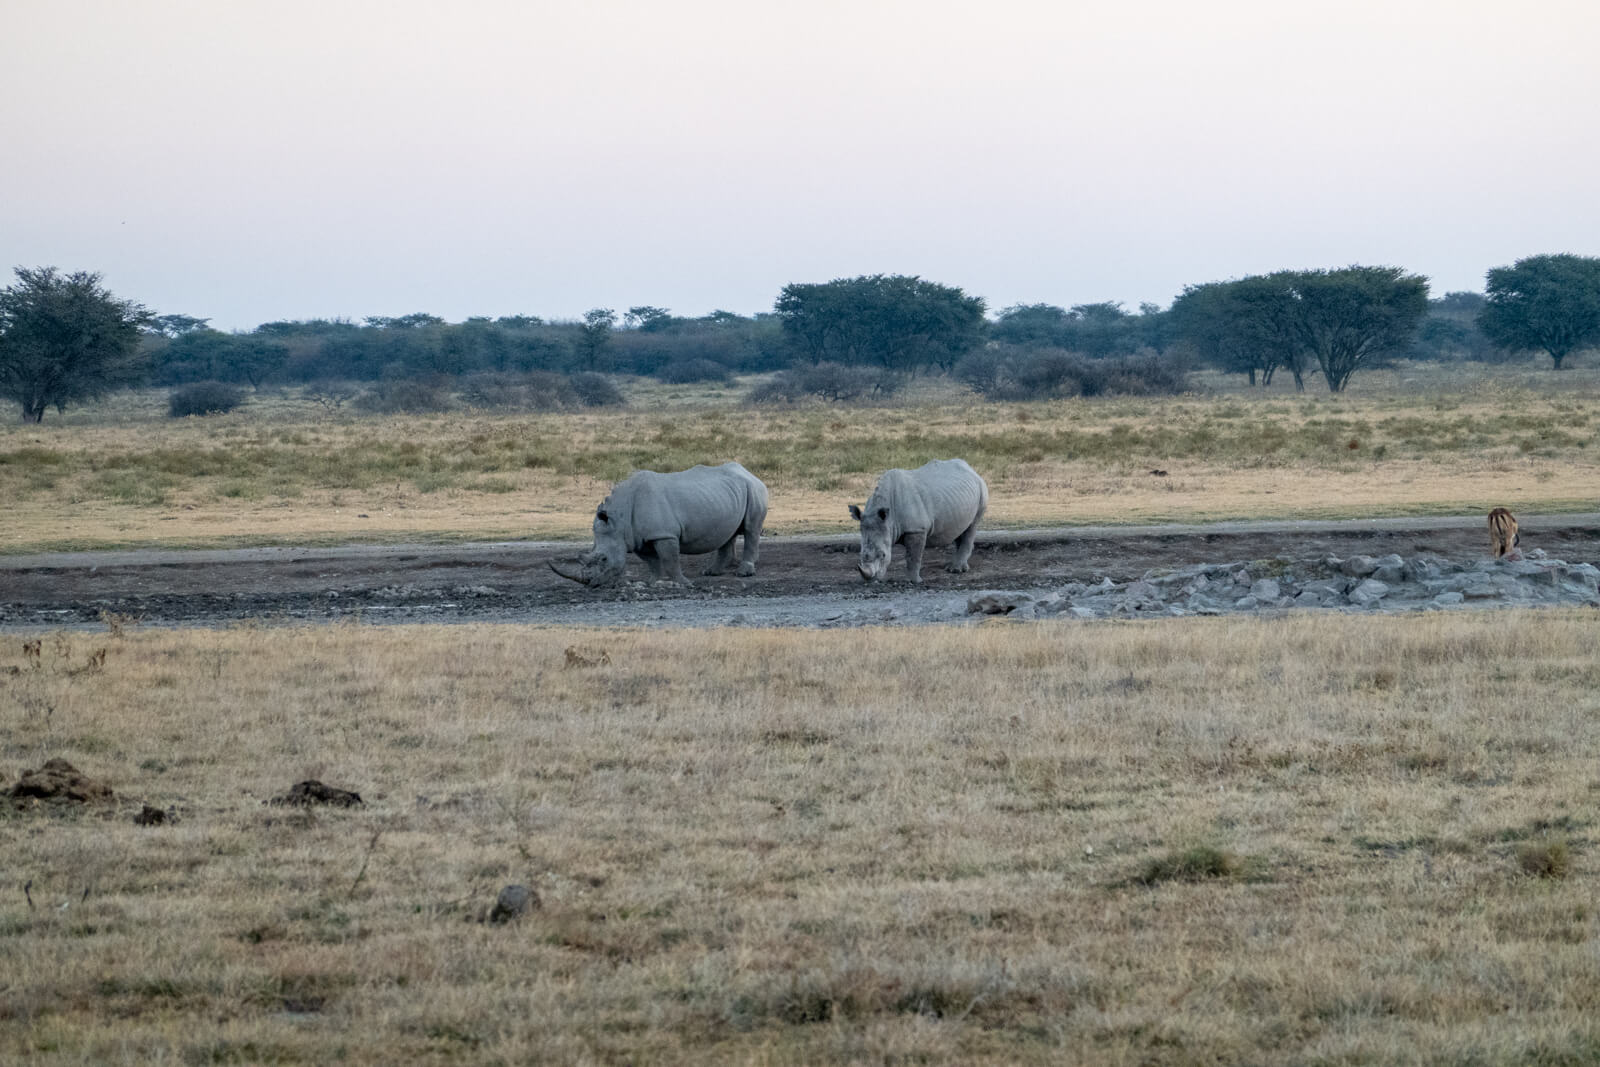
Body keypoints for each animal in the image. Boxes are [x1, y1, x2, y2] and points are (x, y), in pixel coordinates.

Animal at [550, 462, 768, 586]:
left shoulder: (664, 533)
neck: (618, 520)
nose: (591, 584)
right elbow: (652, 562)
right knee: (727, 533)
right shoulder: (637, 537)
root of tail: (749, 472)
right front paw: (652, 582)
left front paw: (684, 583)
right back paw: (711, 572)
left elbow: (670, 559)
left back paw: (743, 574)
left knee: (751, 528)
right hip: (726, 495)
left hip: (754, 489)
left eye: (603, 559)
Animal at [849, 459, 988, 582]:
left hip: (982, 489)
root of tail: (971, 469)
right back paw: (956, 567)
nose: (870, 580)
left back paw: (955, 570)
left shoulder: (916, 529)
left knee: (972, 525)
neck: (889, 520)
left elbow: (913, 556)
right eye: (860, 554)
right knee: (961, 529)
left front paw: (913, 581)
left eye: (883, 555)